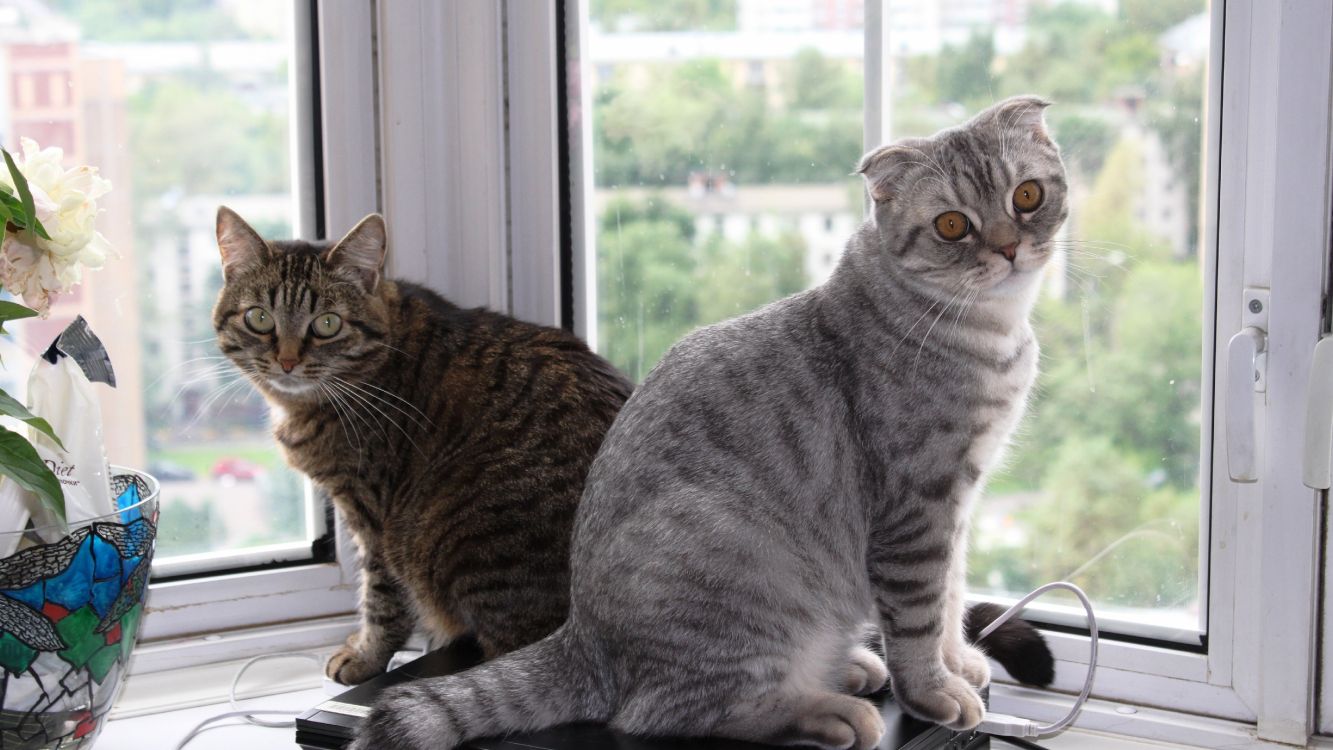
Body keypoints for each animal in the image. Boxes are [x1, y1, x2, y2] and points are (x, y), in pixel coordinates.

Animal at [211, 206, 634, 687]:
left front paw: (365, 656)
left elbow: (381, 599)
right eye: (260, 318)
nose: (286, 361)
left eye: (327, 324)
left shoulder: (372, 515)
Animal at [351, 95, 1061, 750]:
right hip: (744, 579)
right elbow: (919, 618)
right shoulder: (918, 508)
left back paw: (852, 665)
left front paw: (960, 660)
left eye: (1026, 195)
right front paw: (936, 690)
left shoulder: (958, 501)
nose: (1009, 247)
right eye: (952, 224)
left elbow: (952, 596)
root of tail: (580, 637)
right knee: (675, 712)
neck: (987, 332)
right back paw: (830, 708)